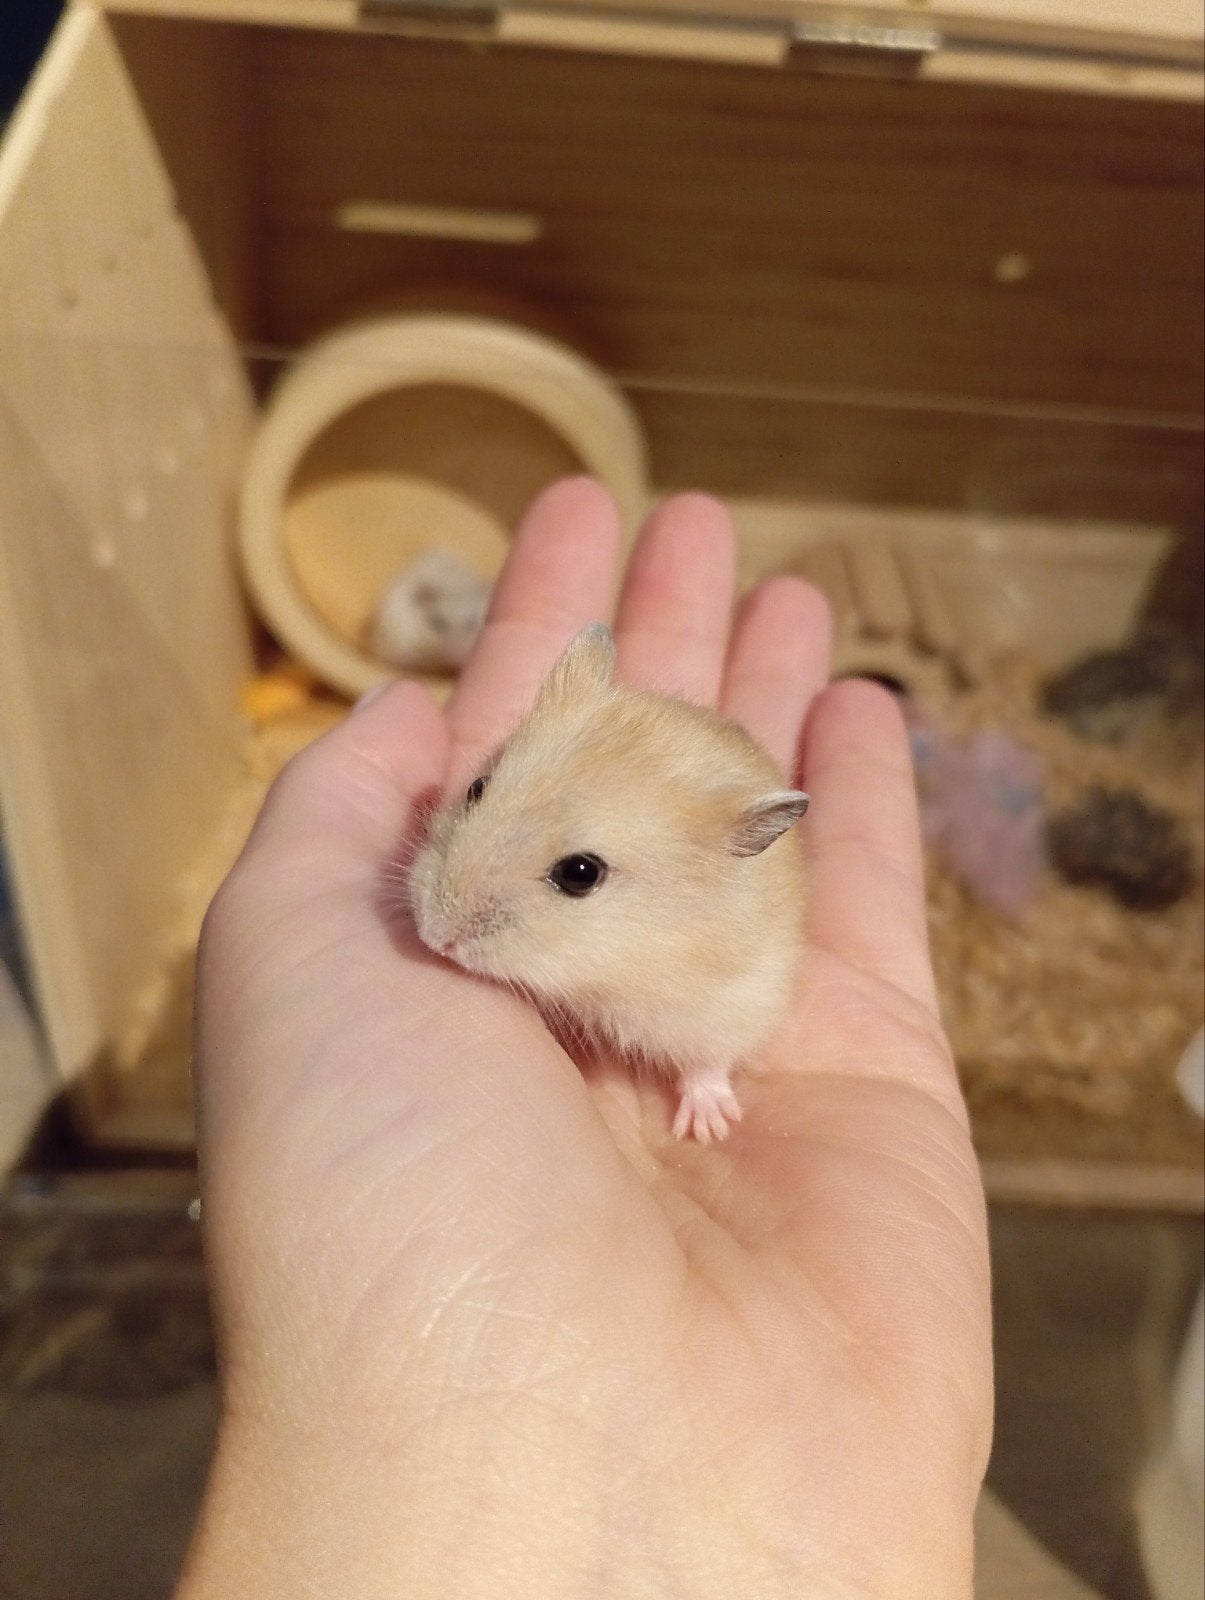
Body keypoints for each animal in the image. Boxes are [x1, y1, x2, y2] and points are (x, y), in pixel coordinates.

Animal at [408, 624, 809, 1142]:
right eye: (477, 788)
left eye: (580, 874)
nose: (431, 938)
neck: (618, 965)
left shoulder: (733, 1001)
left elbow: (708, 1061)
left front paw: (707, 1129)